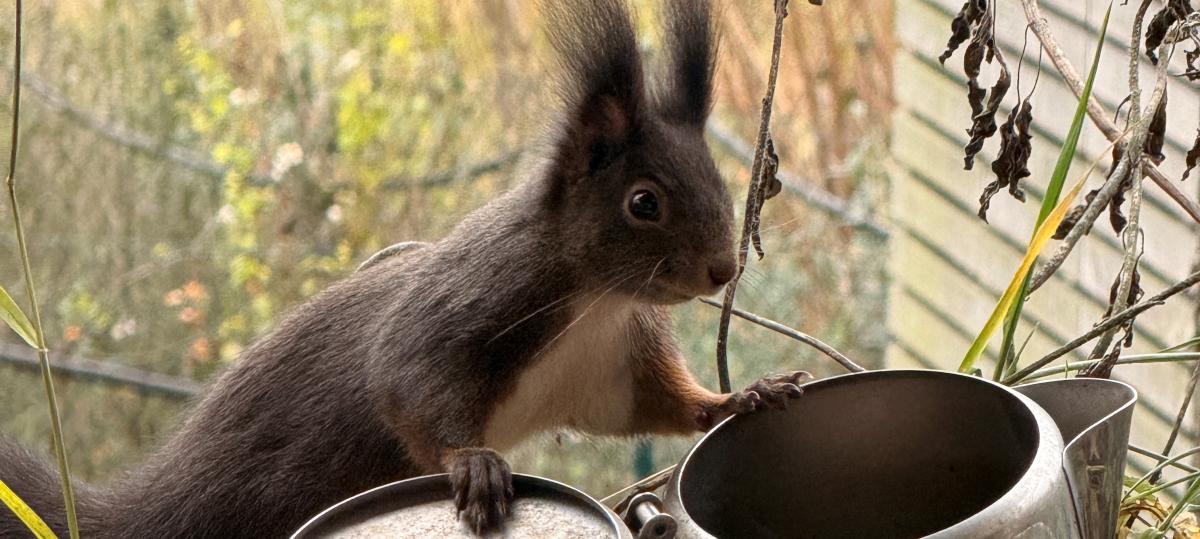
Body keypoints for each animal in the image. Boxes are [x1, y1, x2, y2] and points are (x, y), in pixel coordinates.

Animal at [0, 0, 809, 537]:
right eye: (644, 202)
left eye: (715, 177)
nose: (721, 270)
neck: (595, 299)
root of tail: (153, 506)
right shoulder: (467, 308)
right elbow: (409, 384)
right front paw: (473, 463)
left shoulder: (608, 366)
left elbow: (661, 406)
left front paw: (741, 397)